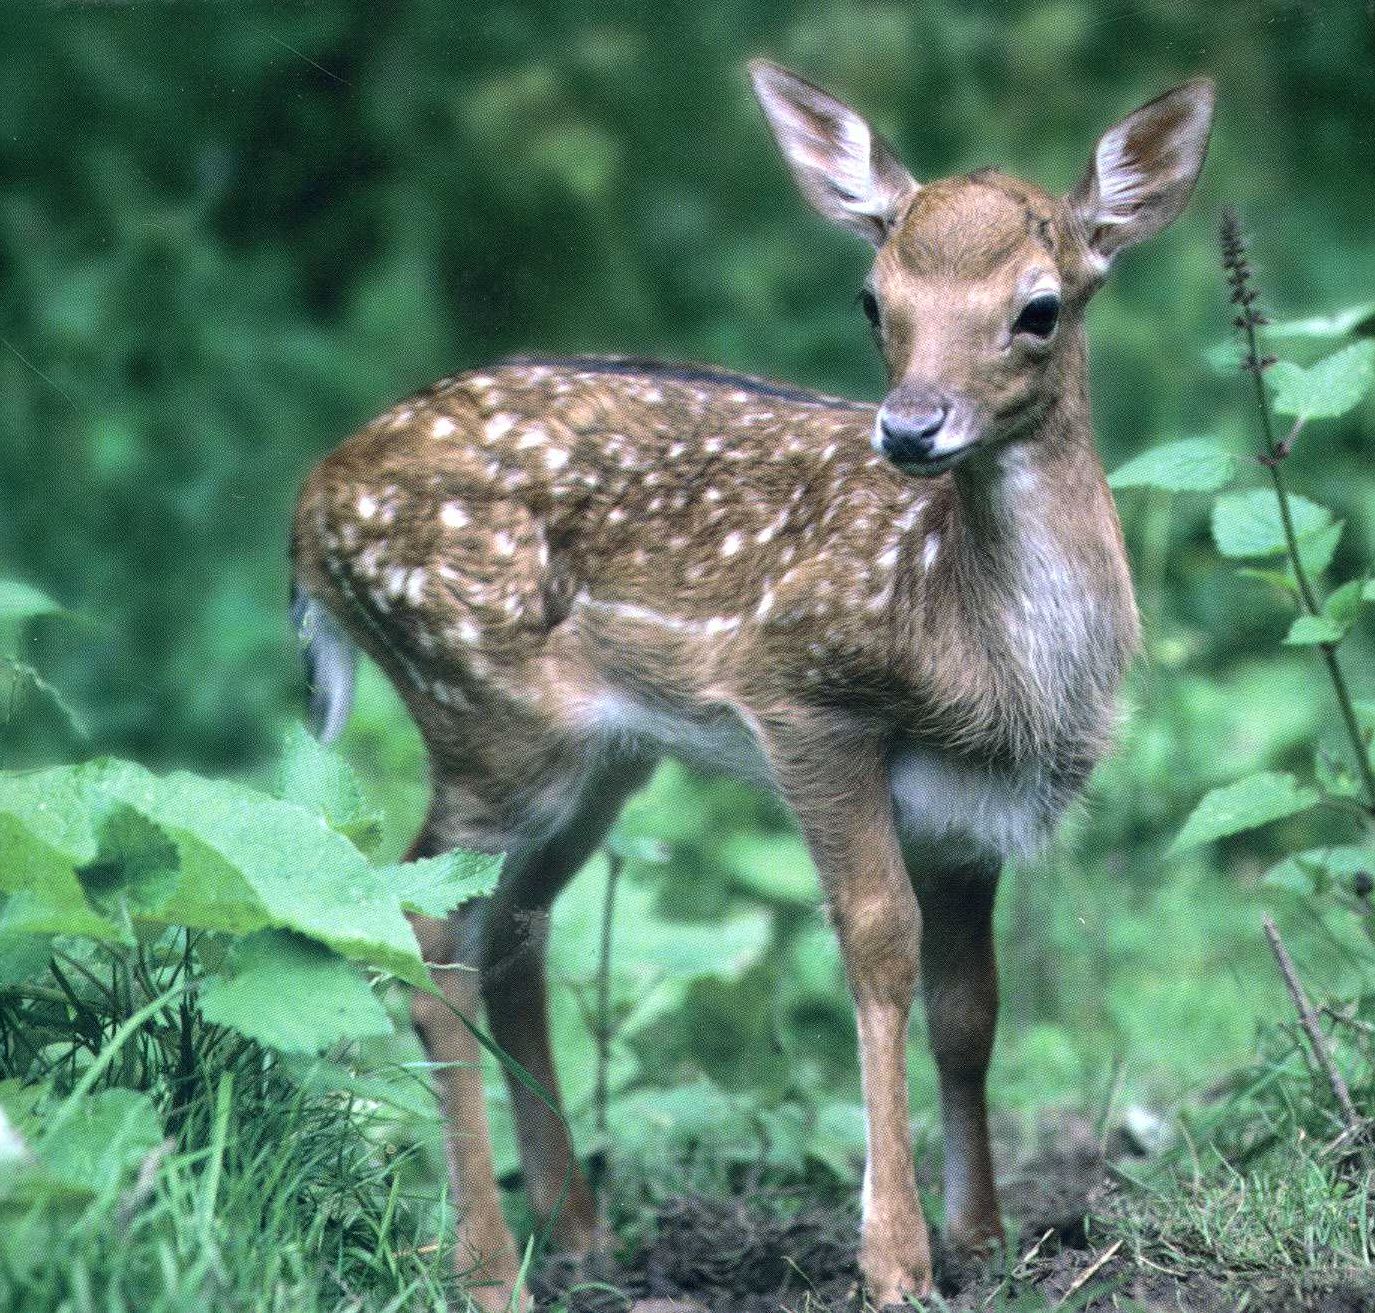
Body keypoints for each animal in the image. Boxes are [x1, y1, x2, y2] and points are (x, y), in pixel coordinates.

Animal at [291, 62, 1214, 1308]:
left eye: (1040, 308)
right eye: (873, 299)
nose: (909, 428)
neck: (984, 649)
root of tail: (308, 508)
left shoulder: (973, 813)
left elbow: (971, 1006)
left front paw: (983, 1237)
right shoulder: (802, 701)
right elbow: (879, 945)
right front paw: (896, 1257)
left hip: (597, 758)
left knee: (514, 926)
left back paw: (578, 1228)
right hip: (479, 707)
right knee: (428, 925)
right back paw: (488, 1266)